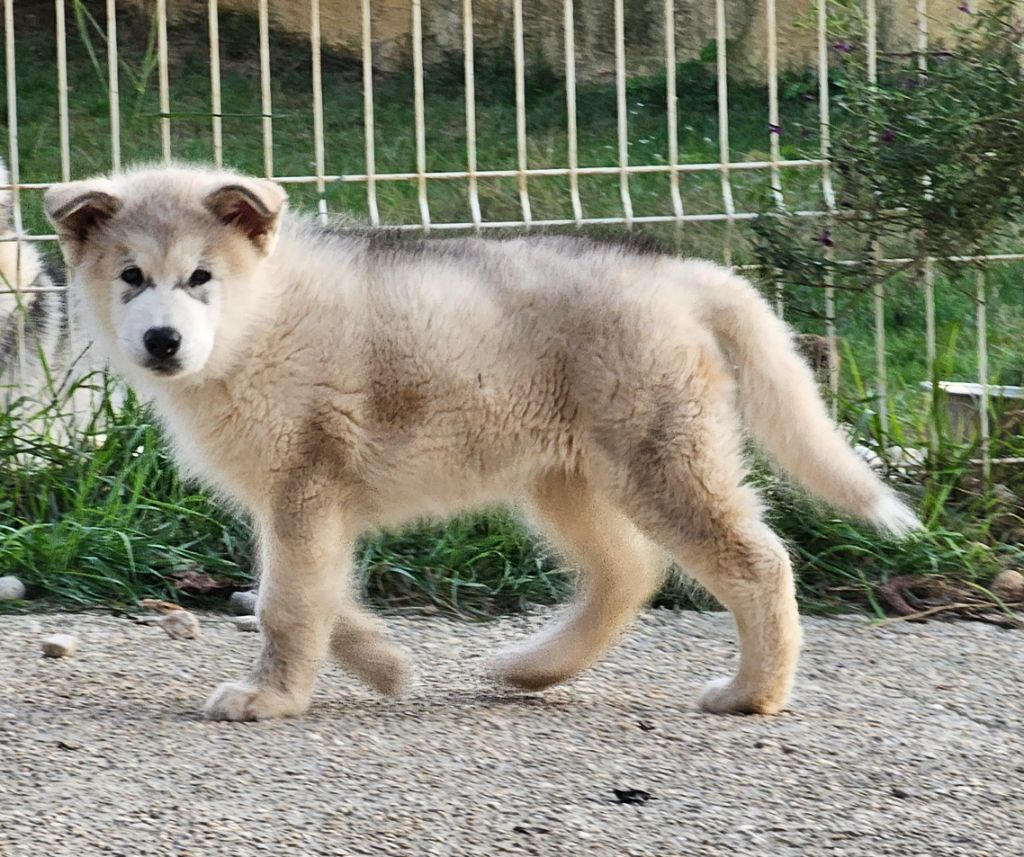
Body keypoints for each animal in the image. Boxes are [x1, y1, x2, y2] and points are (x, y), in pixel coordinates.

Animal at [44, 163, 917, 720]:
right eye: (130, 277)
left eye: (200, 277)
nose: (161, 341)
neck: (257, 322)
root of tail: (683, 272)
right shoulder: (299, 502)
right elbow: (302, 593)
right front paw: (384, 664)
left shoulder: (305, 484)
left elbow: (288, 604)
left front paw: (272, 698)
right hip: (565, 478)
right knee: (628, 571)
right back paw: (533, 667)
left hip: (660, 464)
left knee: (757, 562)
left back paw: (752, 693)